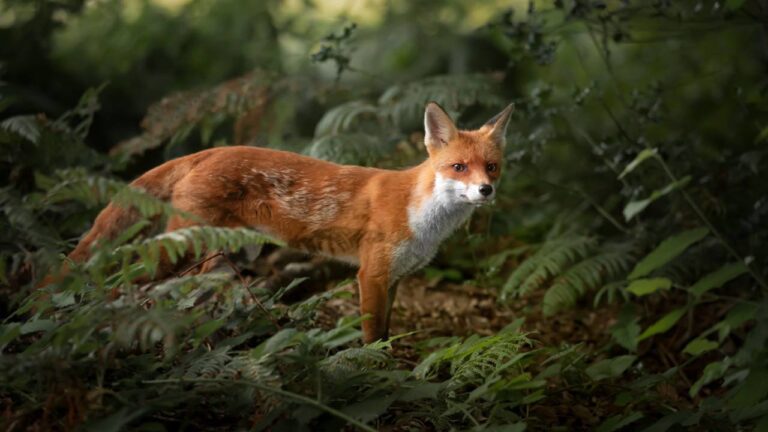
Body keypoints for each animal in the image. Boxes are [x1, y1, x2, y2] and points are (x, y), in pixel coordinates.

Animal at [59, 101, 513, 343]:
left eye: (491, 167)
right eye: (458, 167)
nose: (486, 191)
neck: (423, 217)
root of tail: (209, 151)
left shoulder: (396, 278)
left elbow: (385, 331)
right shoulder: (371, 274)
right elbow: (370, 338)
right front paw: (376, 371)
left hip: (226, 258)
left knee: (191, 293)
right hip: (185, 249)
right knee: (125, 273)